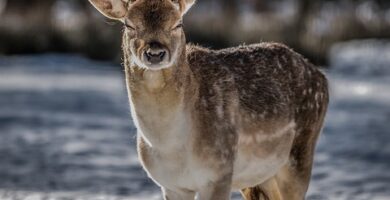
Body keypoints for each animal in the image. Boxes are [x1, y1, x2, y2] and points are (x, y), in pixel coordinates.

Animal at [88, 0, 330, 199]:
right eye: (129, 25)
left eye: (178, 24)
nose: (155, 52)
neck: (172, 147)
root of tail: (322, 77)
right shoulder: (171, 185)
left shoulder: (219, 173)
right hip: (258, 177)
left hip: (300, 155)